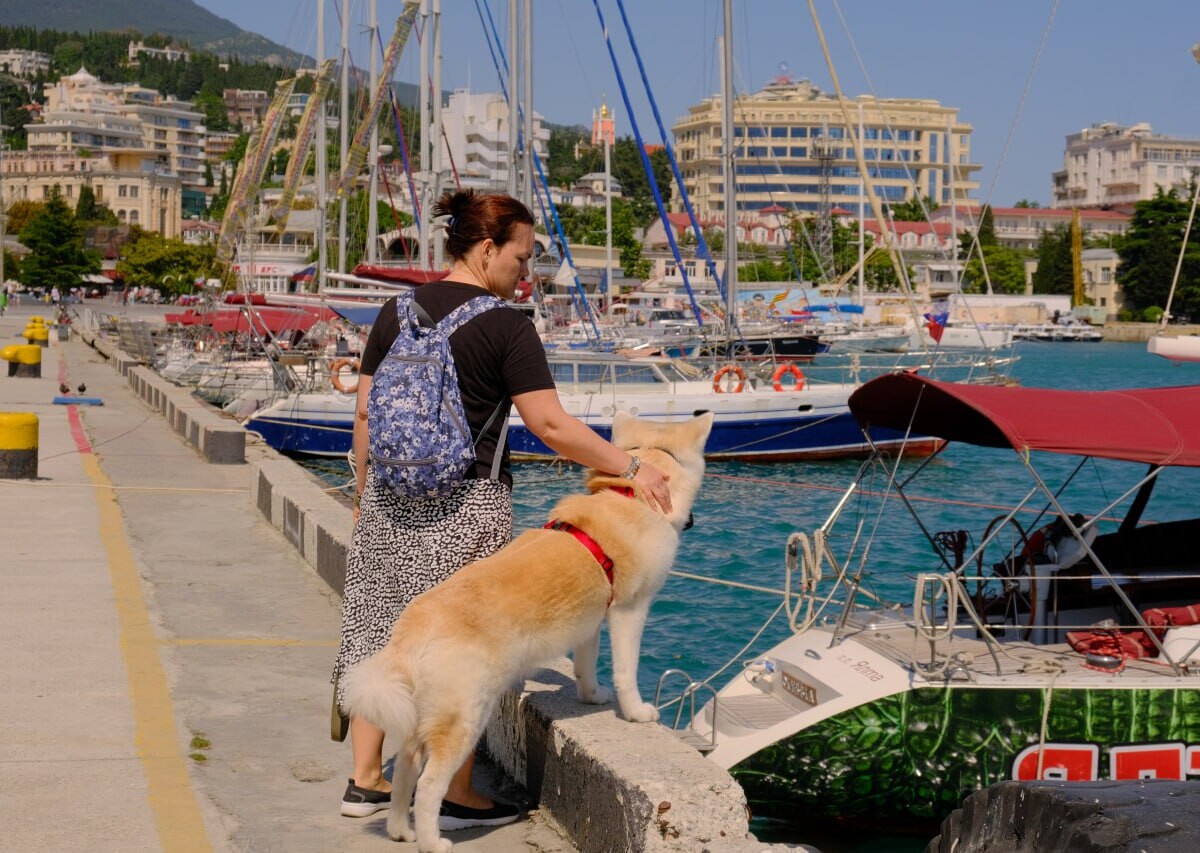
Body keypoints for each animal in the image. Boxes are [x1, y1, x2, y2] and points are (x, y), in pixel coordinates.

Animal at [340, 410, 710, 849]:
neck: (629, 497)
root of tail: (412, 628)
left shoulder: (589, 618)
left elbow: (586, 665)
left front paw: (591, 696)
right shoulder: (629, 610)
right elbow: (626, 671)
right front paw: (636, 712)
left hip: (425, 713)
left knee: (407, 769)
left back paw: (400, 829)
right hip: (463, 717)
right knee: (429, 785)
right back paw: (433, 841)